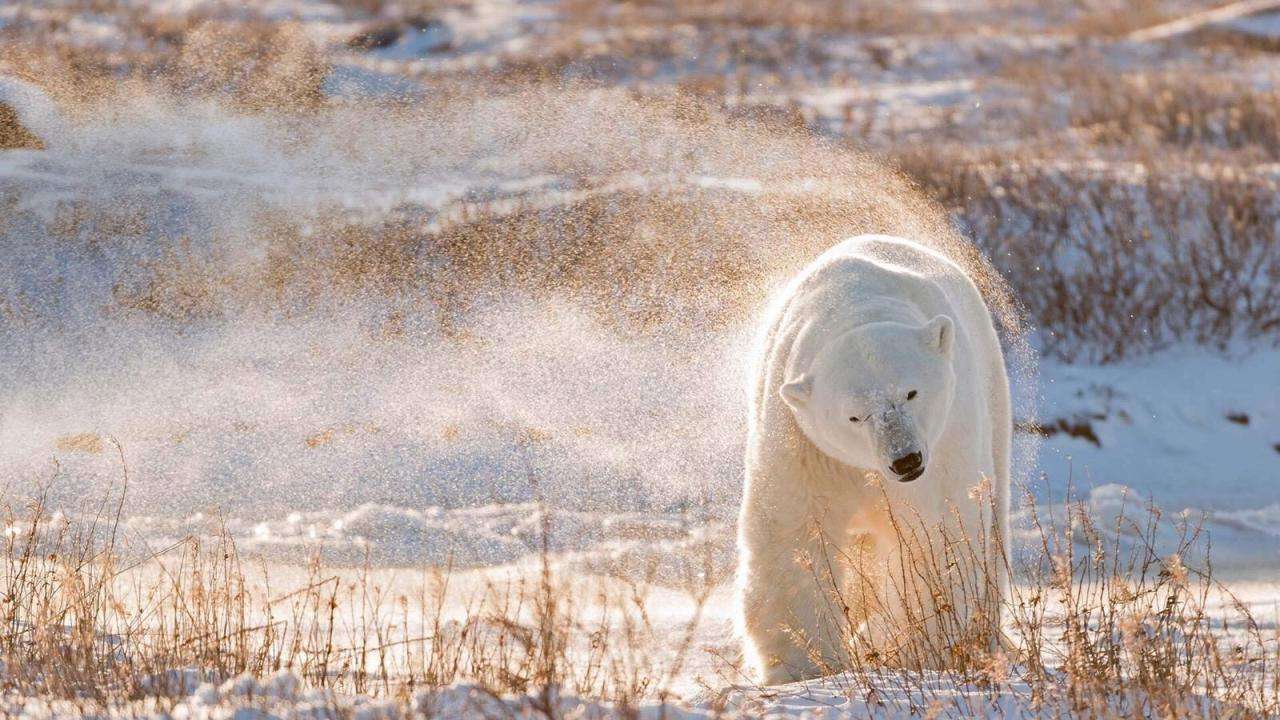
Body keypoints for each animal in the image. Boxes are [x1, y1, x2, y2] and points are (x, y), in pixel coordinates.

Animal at [737, 233, 1013, 681]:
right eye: (854, 415)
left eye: (911, 392)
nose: (905, 461)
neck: (853, 305)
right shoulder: (803, 441)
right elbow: (795, 532)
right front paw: (804, 664)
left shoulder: (947, 436)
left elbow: (936, 533)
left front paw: (913, 646)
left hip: (991, 394)